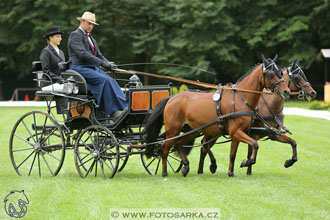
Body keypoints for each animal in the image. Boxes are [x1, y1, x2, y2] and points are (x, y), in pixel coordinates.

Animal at [146, 55, 290, 177]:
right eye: (271, 73)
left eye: (281, 73)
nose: (286, 91)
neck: (240, 99)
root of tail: (171, 98)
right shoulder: (235, 132)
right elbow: (255, 144)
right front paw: (246, 162)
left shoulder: (238, 133)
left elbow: (233, 154)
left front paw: (231, 172)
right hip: (173, 130)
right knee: (165, 148)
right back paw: (165, 173)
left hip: (191, 131)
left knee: (178, 144)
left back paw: (186, 167)